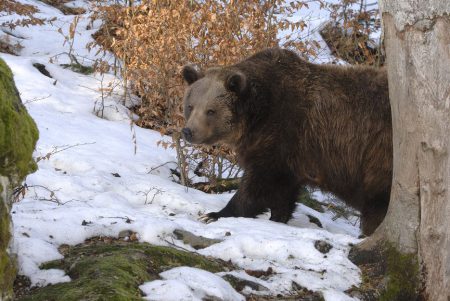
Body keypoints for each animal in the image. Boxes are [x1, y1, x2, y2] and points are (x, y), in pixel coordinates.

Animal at [181, 48, 392, 234]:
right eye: (190, 106)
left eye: (210, 110)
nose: (188, 131)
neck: (257, 115)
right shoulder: (293, 157)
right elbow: (284, 192)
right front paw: (277, 217)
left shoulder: (283, 134)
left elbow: (258, 185)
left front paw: (214, 214)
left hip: (378, 157)